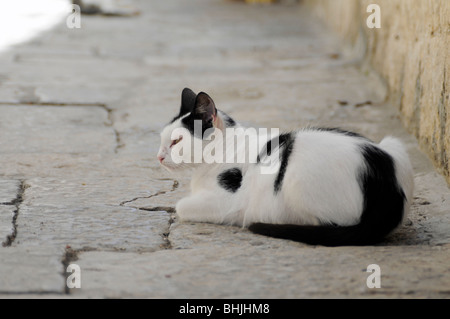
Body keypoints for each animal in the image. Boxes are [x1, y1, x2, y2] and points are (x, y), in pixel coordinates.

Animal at [156, 87, 414, 248]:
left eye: (176, 141)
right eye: (162, 139)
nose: (158, 157)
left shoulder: (227, 202)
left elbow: (181, 206)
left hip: (295, 178)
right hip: (393, 143)